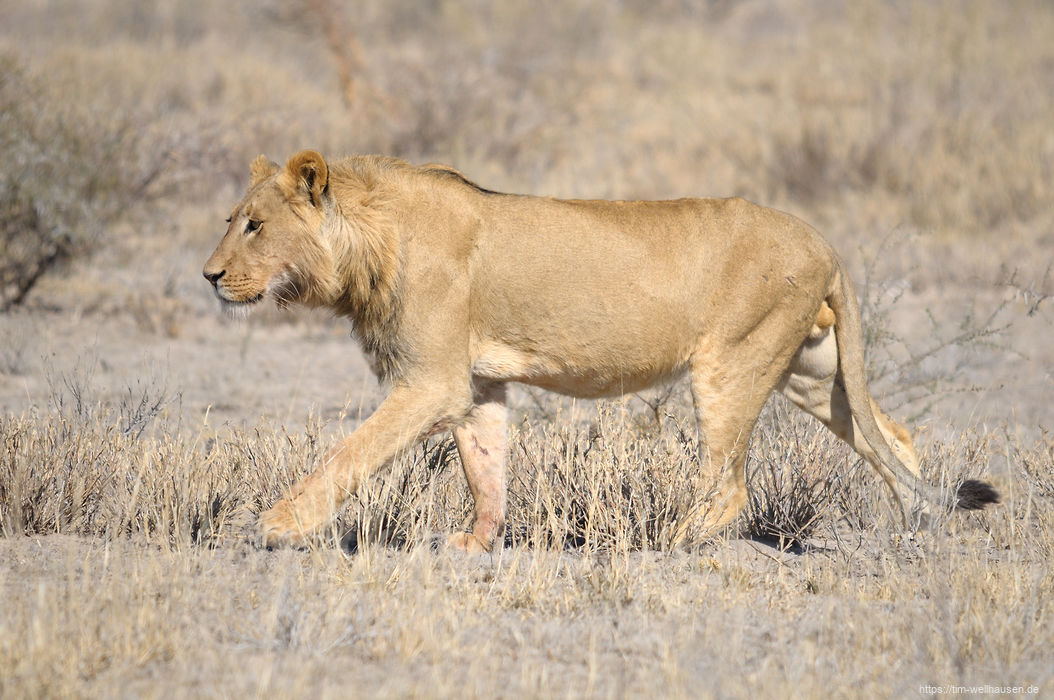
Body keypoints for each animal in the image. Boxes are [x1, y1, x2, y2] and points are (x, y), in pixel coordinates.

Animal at [201, 148, 999, 552]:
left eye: (254, 225)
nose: (207, 276)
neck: (371, 236)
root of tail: (823, 240)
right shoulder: (476, 383)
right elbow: (485, 467)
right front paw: (476, 545)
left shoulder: (430, 381)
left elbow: (349, 453)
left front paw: (274, 526)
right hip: (811, 370)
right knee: (893, 434)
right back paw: (919, 528)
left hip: (731, 363)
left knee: (730, 487)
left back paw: (668, 540)